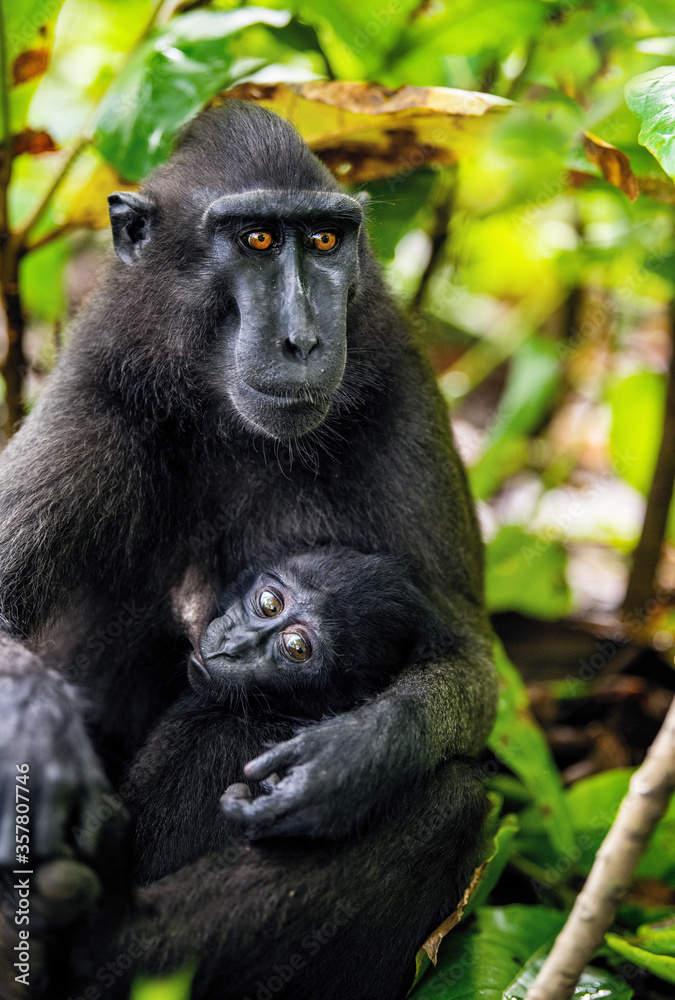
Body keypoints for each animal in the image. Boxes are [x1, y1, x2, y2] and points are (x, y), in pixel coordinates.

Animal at [0, 99, 496, 995]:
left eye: (325, 240)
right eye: (258, 240)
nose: (303, 340)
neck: (226, 422)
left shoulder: (397, 382)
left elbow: (465, 659)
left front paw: (350, 760)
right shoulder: (97, 395)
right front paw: (34, 732)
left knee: (451, 801)